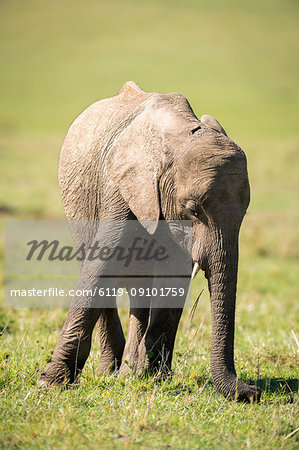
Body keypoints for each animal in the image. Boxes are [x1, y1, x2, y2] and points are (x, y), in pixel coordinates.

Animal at [37, 81, 262, 404]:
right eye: (193, 209)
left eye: (245, 213)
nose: (252, 391)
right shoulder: (121, 185)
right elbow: (102, 263)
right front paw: (51, 383)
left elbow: (174, 275)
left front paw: (156, 378)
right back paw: (112, 371)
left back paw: (129, 372)